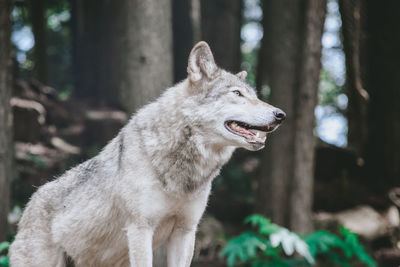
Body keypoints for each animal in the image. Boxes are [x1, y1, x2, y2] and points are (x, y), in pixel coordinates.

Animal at [8, 40, 284, 266]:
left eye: (256, 96)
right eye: (237, 94)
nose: (280, 114)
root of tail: (27, 207)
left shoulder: (185, 231)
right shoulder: (140, 229)